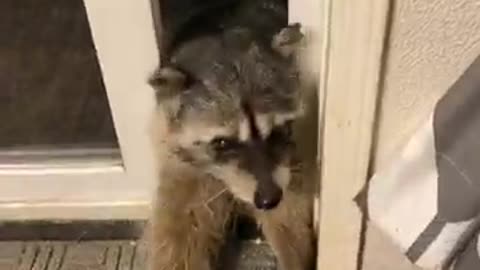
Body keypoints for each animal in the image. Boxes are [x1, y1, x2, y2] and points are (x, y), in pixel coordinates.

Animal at [148, 1, 316, 268]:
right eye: (223, 142)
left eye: (277, 129)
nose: (269, 199)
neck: (222, 29)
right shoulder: (174, 148)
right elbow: (179, 222)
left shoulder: (287, 160)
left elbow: (289, 212)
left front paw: (295, 258)